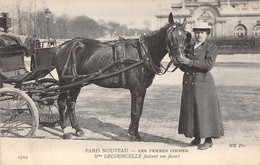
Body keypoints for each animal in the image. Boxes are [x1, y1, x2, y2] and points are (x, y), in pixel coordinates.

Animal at [53, 12, 191, 141]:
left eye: (185, 37)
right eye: (171, 36)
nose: (180, 59)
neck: (143, 54)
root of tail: (62, 46)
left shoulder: (142, 89)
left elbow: (139, 111)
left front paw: (134, 133)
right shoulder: (136, 89)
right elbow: (135, 112)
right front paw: (133, 135)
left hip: (77, 82)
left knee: (71, 103)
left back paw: (78, 129)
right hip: (66, 82)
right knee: (61, 103)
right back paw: (65, 131)